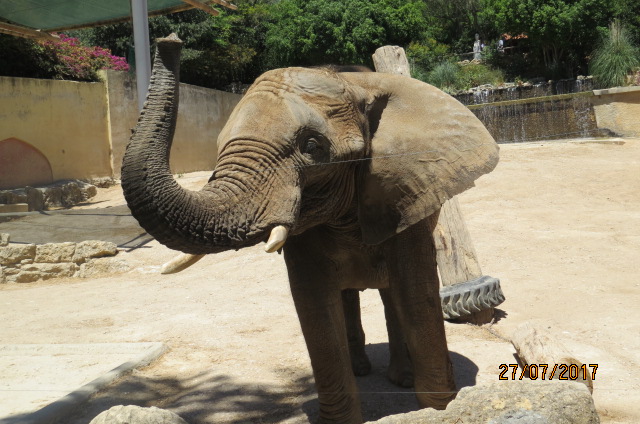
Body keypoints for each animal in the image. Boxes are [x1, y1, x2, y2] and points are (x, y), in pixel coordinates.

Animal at [121, 34, 499, 424]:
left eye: (312, 147)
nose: (170, 40)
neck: (354, 82)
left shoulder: (404, 192)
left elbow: (415, 290)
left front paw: (438, 408)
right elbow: (313, 300)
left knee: (390, 292)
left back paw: (401, 377)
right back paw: (361, 368)